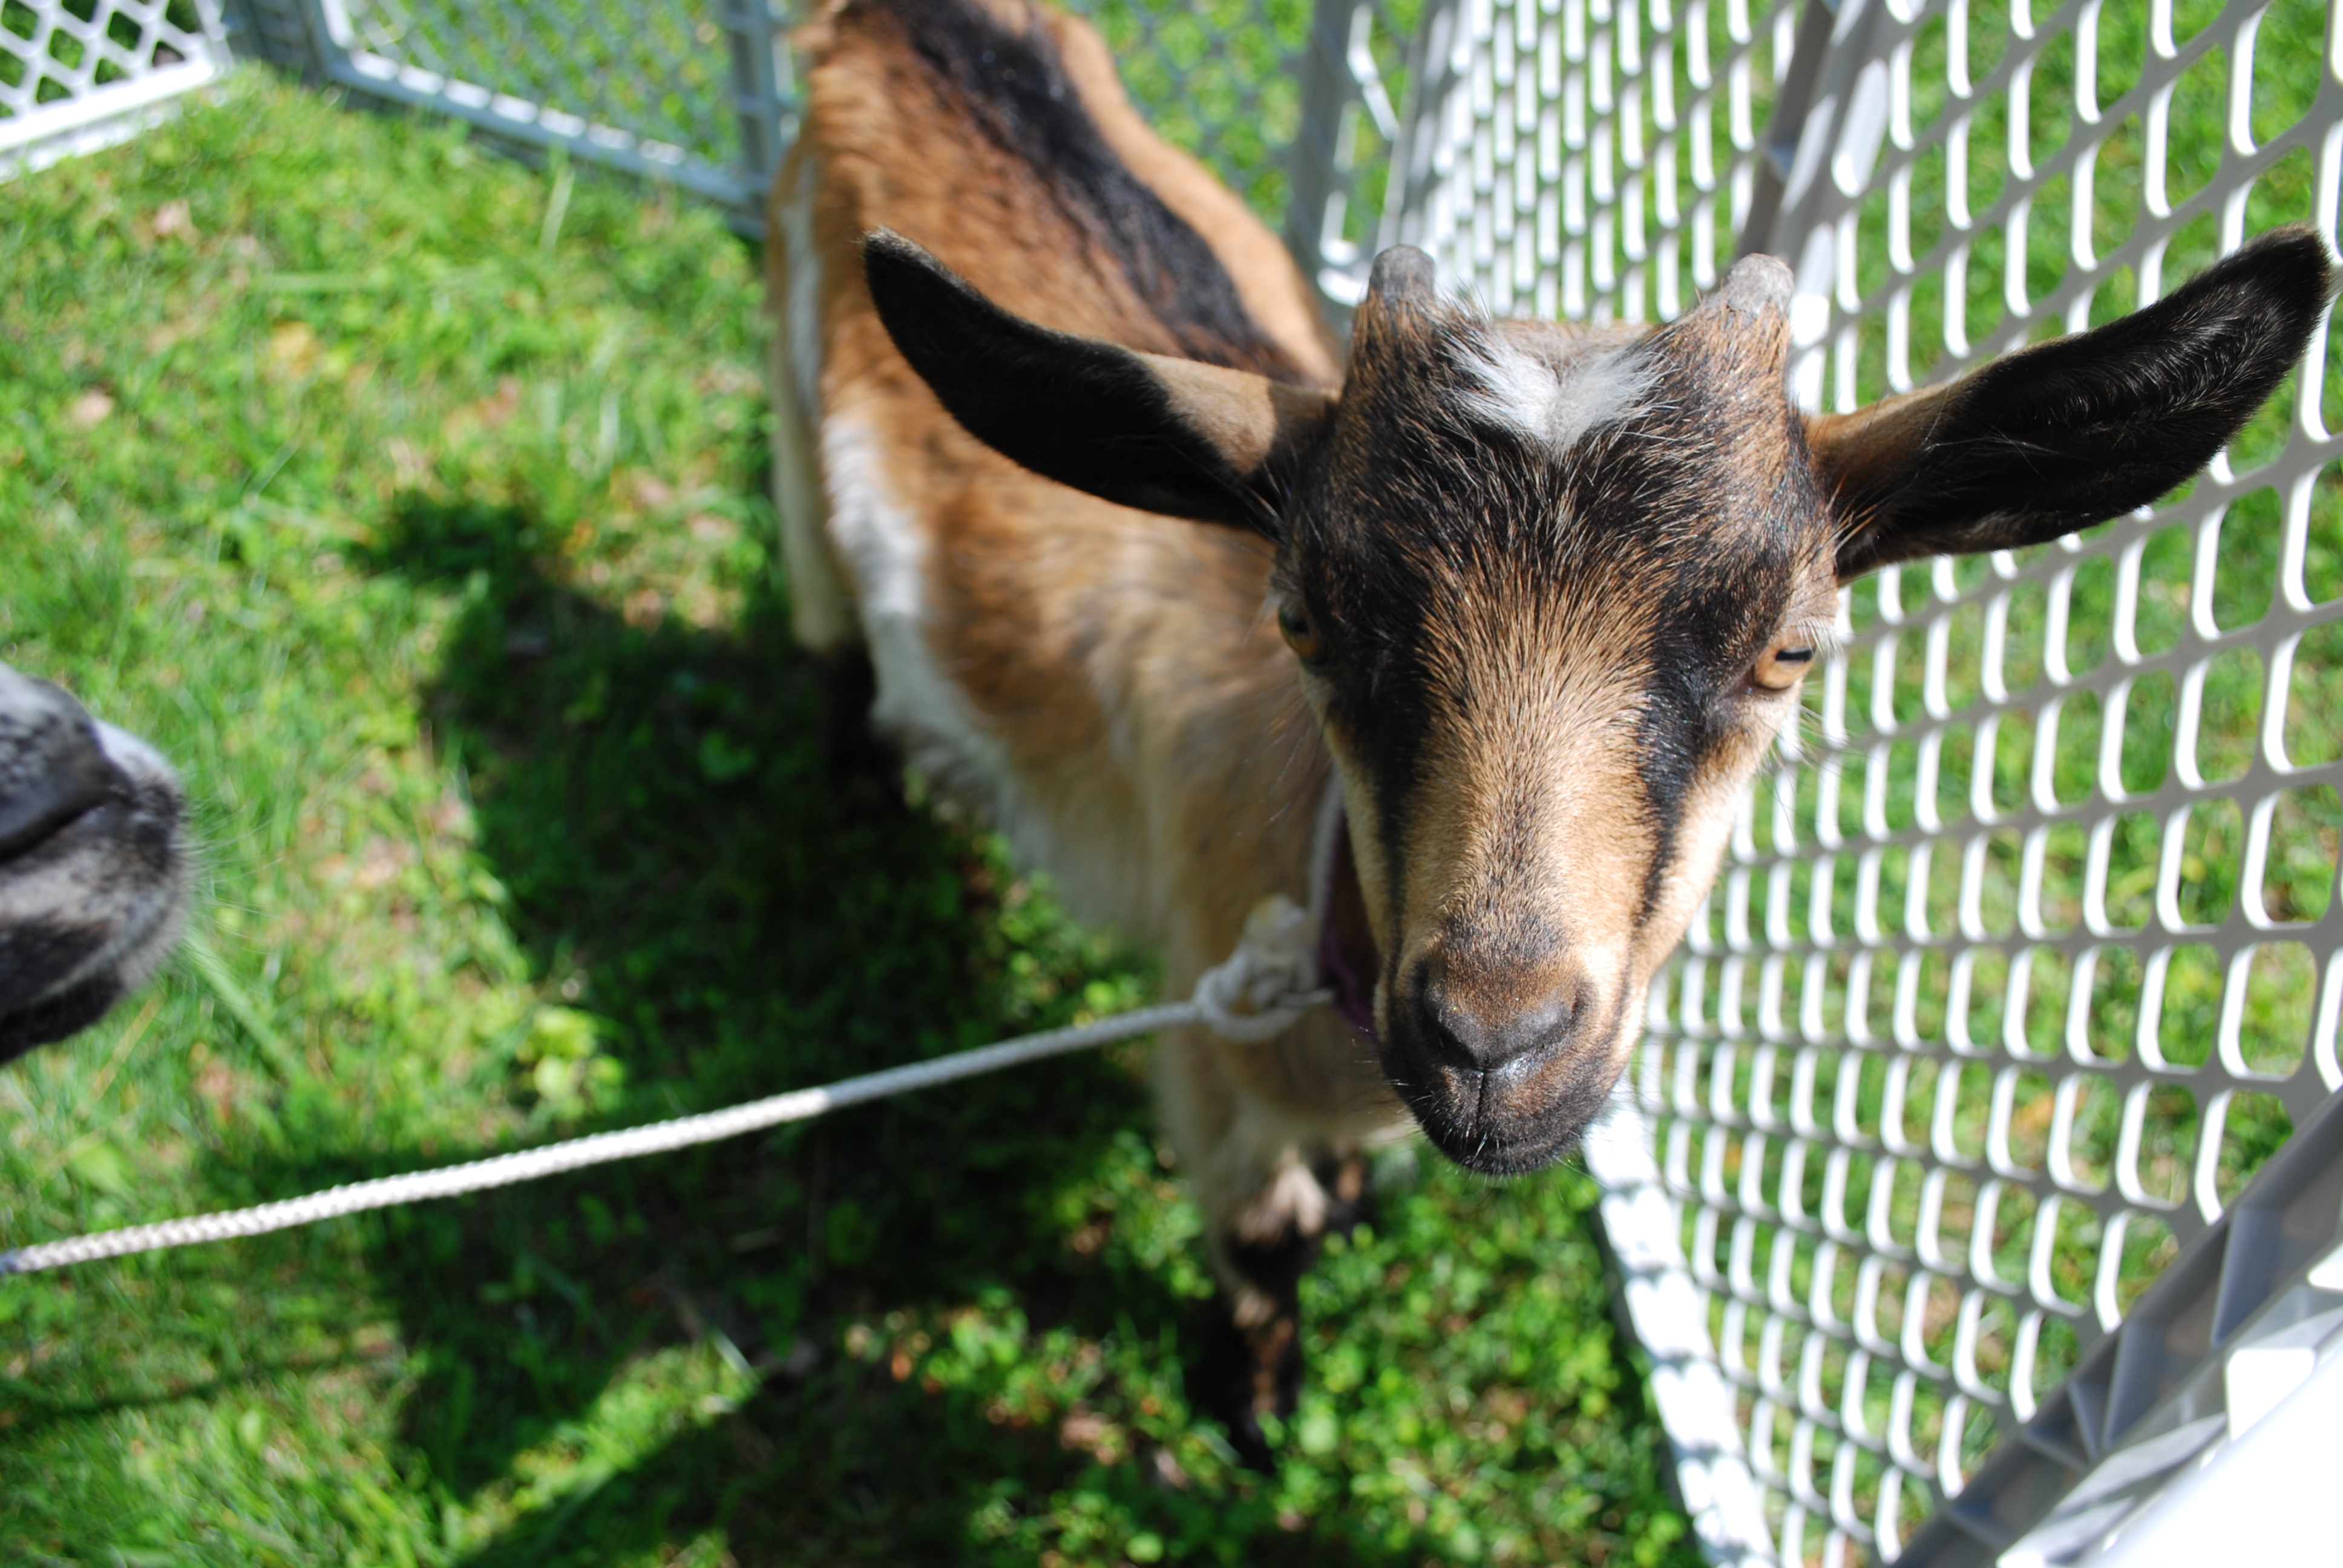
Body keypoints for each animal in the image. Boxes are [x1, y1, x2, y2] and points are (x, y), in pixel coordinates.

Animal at [764, 0, 2324, 1453]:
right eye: (1304, 619)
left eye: (1789, 647)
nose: (1492, 1049)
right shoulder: (1211, 1055)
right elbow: (1266, 1238)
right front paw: (1255, 1405)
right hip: (795, 410)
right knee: (829, 625)